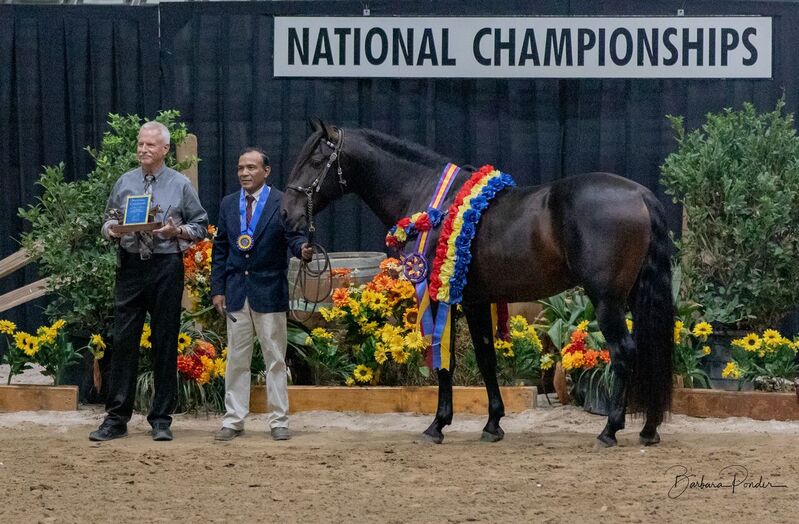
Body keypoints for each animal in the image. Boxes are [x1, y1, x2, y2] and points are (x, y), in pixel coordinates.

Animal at [281, 120, 674, 447]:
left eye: (316, 160)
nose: (286, 214)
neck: (429, 202)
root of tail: (640, 195)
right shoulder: (475, 301)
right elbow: (486, 358)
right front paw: (493, 424)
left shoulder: (440, 298)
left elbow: (445, 361)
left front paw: (437, 425)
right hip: (630, 297)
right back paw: (648, 430)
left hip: (607, 300)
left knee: (623, 353)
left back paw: (610, 430)